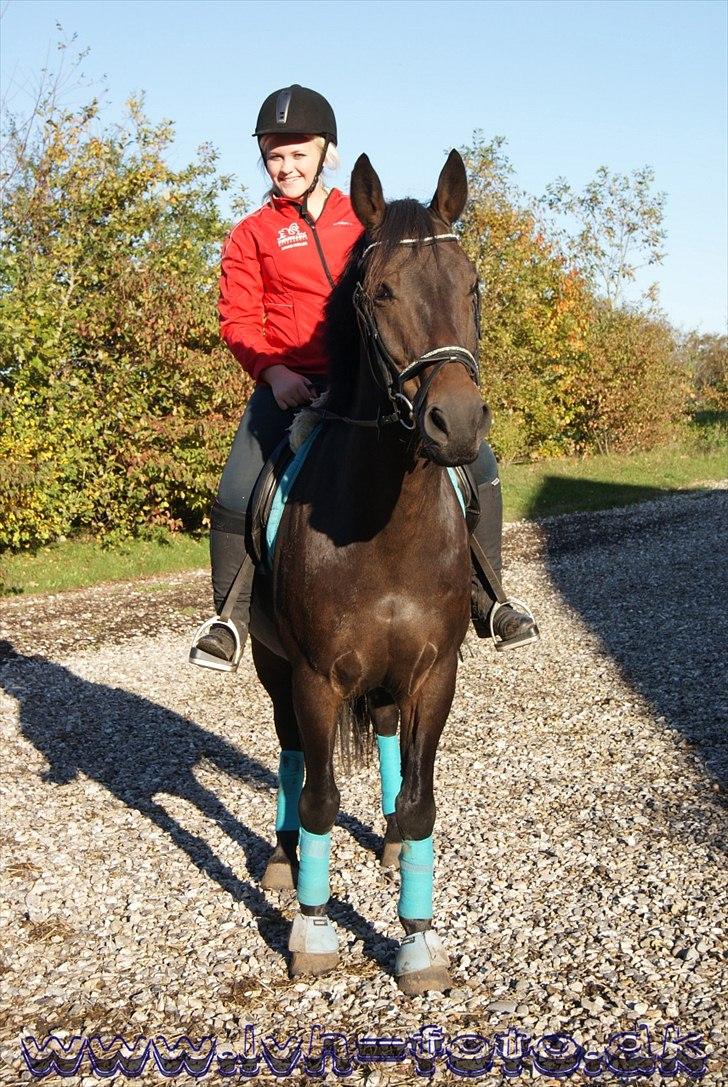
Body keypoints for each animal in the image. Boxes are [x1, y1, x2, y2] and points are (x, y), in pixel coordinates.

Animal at [247, 151, 486, 995]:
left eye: (472, 283)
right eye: (380, 291)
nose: (457, 421)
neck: (384, 529)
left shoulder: (434, 674)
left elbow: (421, 802)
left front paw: (418, 940)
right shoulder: (316, 676)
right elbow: (319, 795)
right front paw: (314, 930)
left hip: (388, 682)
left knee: (384, 737)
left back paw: (384, 843)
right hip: (274, 667)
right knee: (291, 753)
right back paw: (284, 859)